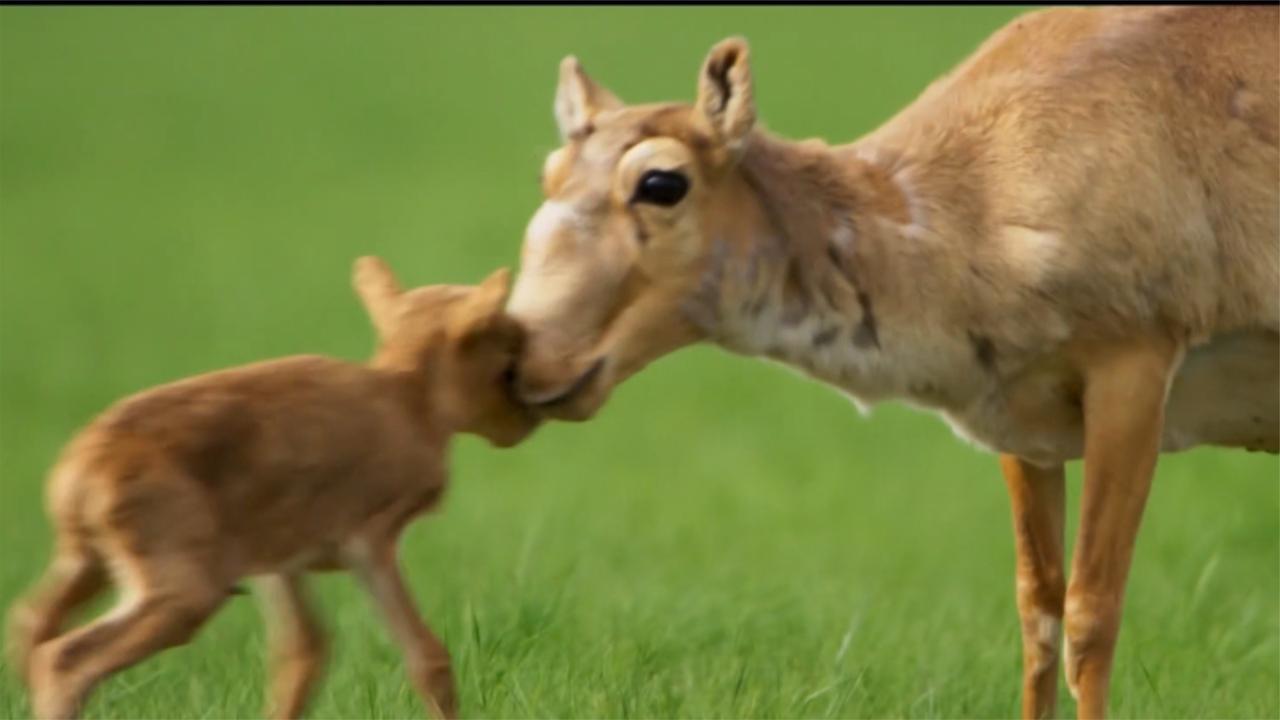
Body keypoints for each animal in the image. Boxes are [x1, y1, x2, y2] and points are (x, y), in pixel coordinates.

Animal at [504, 5, 1274, 717]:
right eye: (549, 172)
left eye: (663, 182)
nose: (526, 356)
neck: (978, 198)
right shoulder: (1024, 422)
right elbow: (1039, 608)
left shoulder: (1133, 367)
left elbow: (1092, 609)